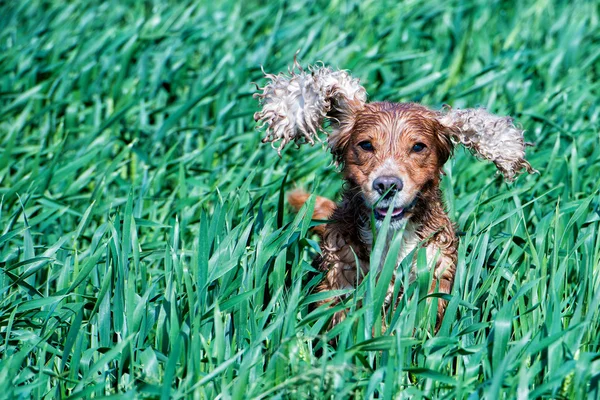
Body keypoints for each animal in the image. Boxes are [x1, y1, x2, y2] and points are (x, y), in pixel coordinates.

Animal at [253, 57, 536, 330]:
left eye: (418, 147)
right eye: (366, 145)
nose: (387, 185)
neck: (389, 241)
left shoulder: (434, 277)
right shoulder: (341, 277)